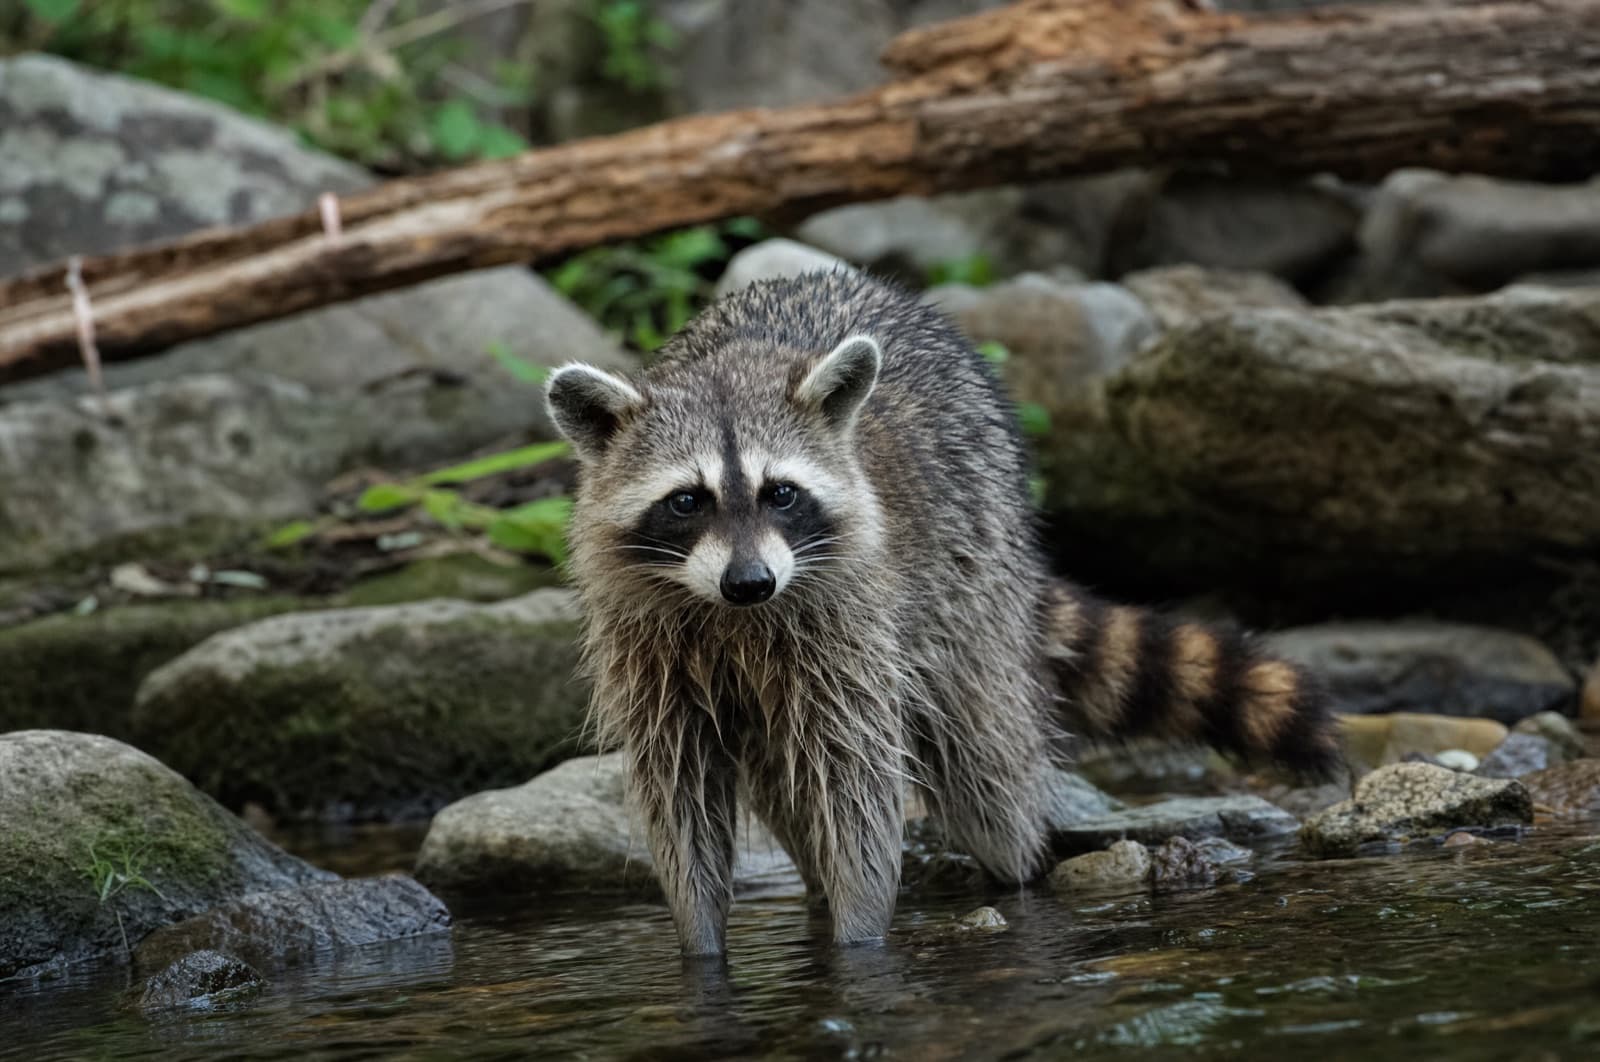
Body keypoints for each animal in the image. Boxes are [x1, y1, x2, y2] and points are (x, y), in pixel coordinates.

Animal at [545, 271, 1338, 956]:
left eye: (782, 494)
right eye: (687, 500)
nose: (751, 583)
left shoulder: (847, 626)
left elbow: (857, 783)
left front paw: (860, 943)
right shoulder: (646, 646)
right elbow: (679, 792)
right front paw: (702, 946)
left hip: (976, 588)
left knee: (987, 773)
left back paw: (1017, 878)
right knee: (787, 788)